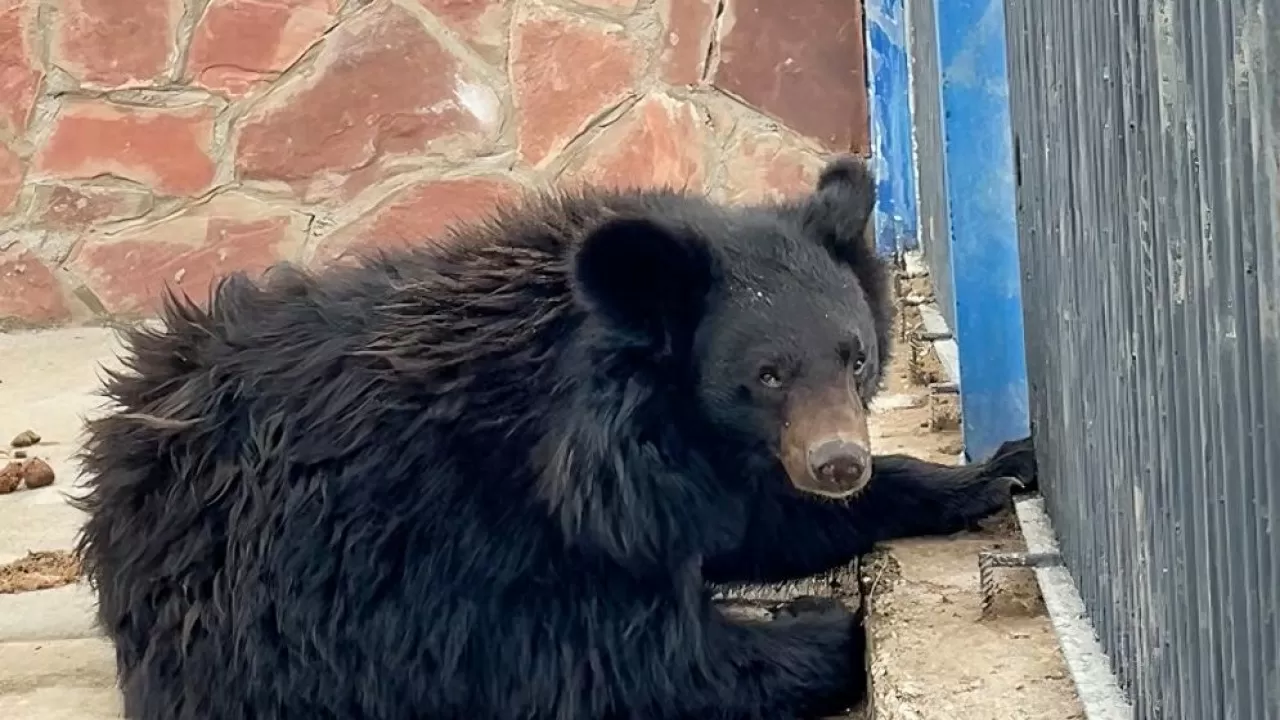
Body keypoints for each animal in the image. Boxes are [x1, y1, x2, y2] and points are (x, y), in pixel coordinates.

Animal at [74, 156, 1034, 717]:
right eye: (766, 375)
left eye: (855, 355)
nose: (838, 463)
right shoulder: (468, 534)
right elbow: (609, 660)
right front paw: (822, 623)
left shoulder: (692, 474)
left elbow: (757, 520)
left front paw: (994, 472)